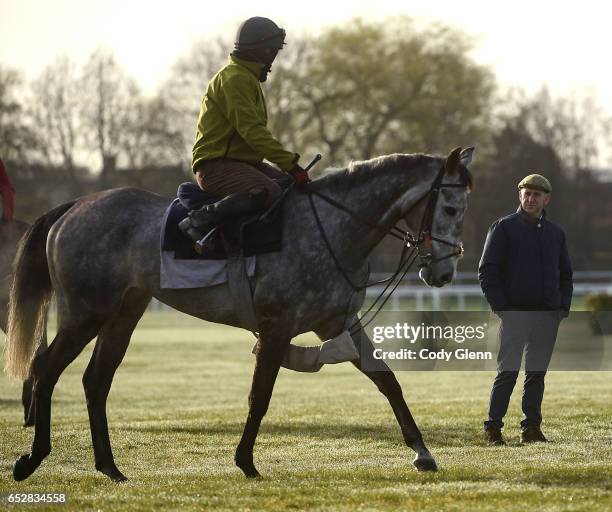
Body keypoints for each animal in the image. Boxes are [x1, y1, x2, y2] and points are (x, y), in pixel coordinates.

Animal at [3, 146, 474, 482]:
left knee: (95, 381)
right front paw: (245, 460)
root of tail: (74, 206)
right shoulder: (278, 329)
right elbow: (259, 397)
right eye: (451, 208)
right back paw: (33, 457)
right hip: (85, 313)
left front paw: (422, 451)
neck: (333, 227)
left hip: (122, 315)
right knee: (45, 369)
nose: (444, 272)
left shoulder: (338, 323)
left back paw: (109, 467)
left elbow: (387, 381)